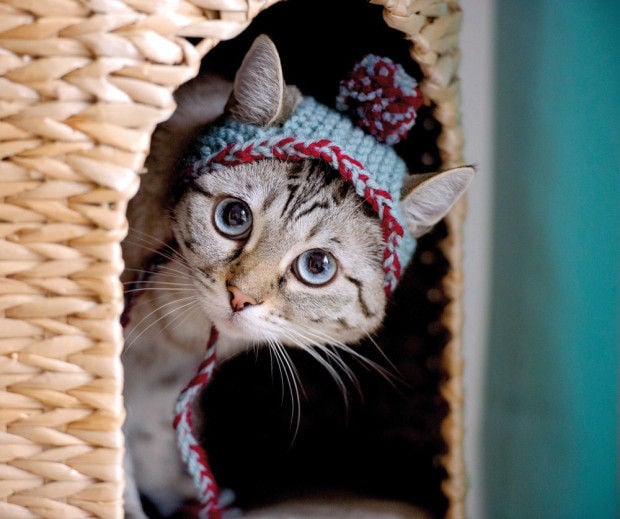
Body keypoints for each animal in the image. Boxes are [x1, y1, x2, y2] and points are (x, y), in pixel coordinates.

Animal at [121, 34, 472, 516]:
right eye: (234, 217)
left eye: (317, 266)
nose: (239, 297)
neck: (176, 335)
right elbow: (115, 448)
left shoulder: (164, 382)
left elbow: (149, 433)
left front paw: (182, 497)